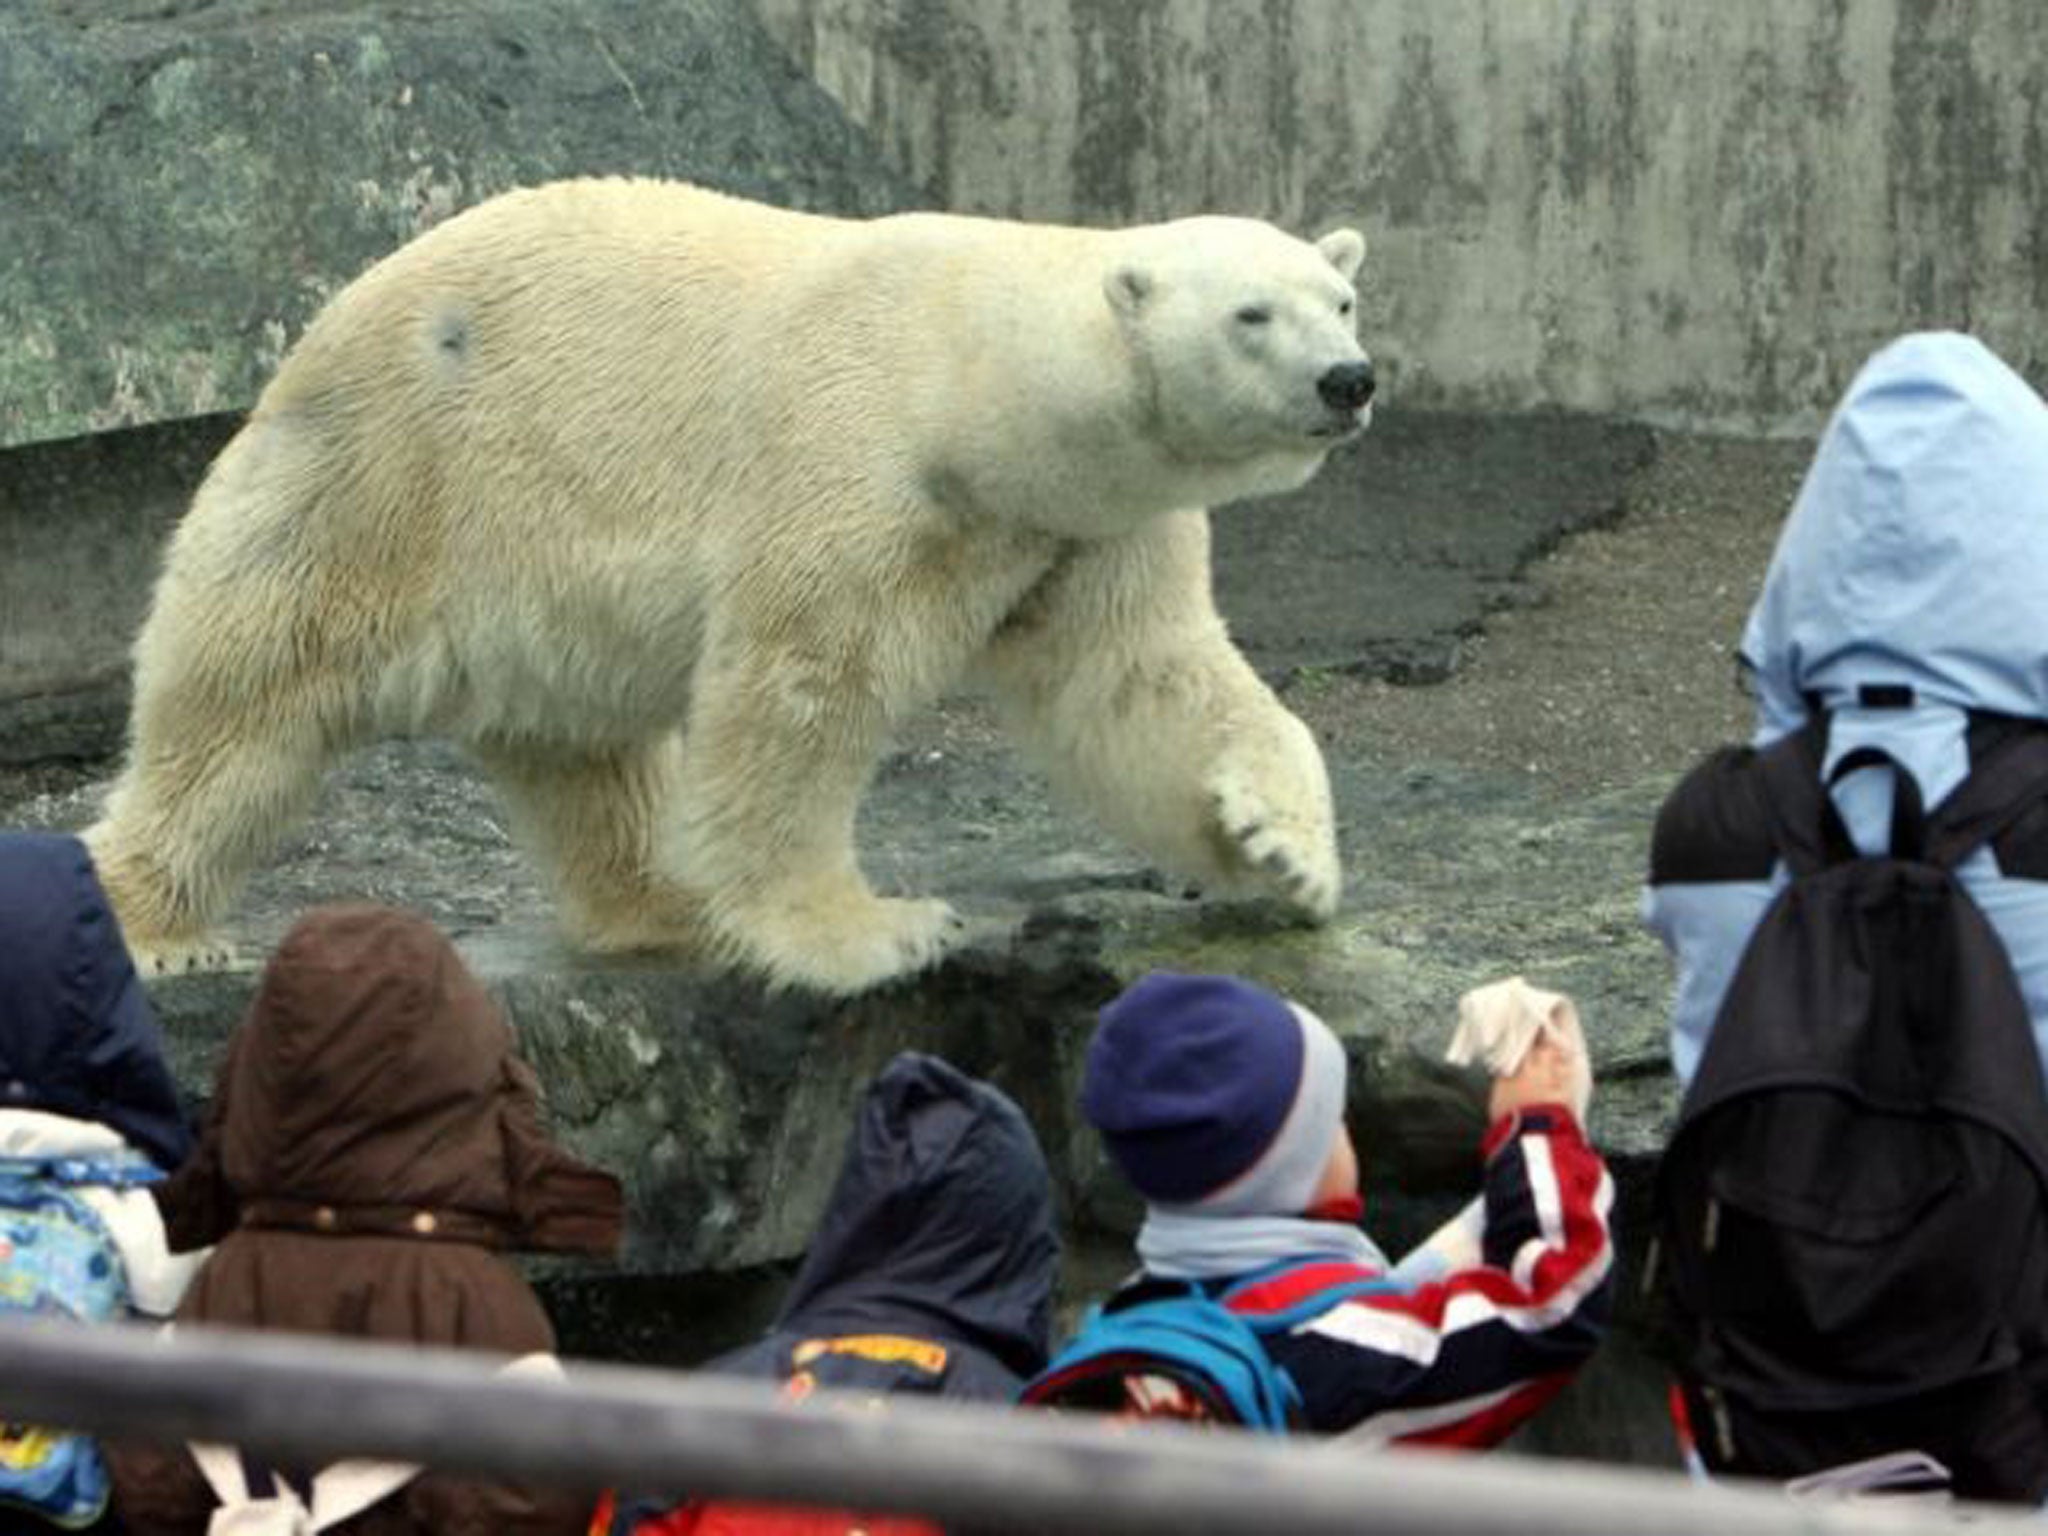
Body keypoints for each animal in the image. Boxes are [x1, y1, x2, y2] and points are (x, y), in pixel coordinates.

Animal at [92, 177, 1376, 999]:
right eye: (1250, 314)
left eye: (1340, 299)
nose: (1348, 379)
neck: (972, 380)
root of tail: (322, 326)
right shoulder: (856, 462)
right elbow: (799, 691)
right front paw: (873, 933)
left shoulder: (1079, 524)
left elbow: (1142, 679)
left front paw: (1282, 853)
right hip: (381, 484)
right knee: (243, 709)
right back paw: (154, 927)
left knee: (589, 758)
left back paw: (663, 902)